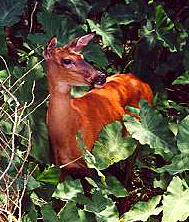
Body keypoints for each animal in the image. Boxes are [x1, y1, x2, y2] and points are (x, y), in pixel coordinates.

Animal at [43, 33, 153, 181]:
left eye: (82, 57)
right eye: (67, 60)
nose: (101, 76)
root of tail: (142, 82)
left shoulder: (92, 164)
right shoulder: (58, 166)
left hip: (139, 133)